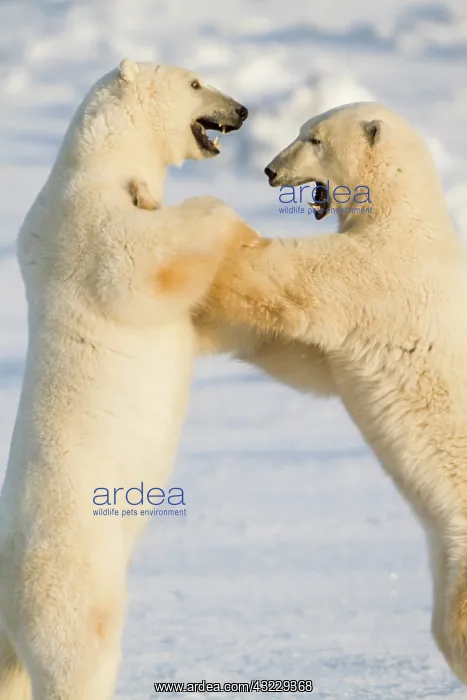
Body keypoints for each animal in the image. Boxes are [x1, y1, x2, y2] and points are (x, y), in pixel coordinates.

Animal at [0, 58, 255, 700]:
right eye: (196, 83)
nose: (242, 110)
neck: (100, 155)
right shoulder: (86, 221)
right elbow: (140, 261)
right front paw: (227, 215)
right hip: (71, 571)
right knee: (79, 654)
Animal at [199, 101, 467, 685]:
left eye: (314, 139)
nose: (270, 170)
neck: (403, 212)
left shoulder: (380, 275)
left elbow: (292, 281)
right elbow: (303, 363)